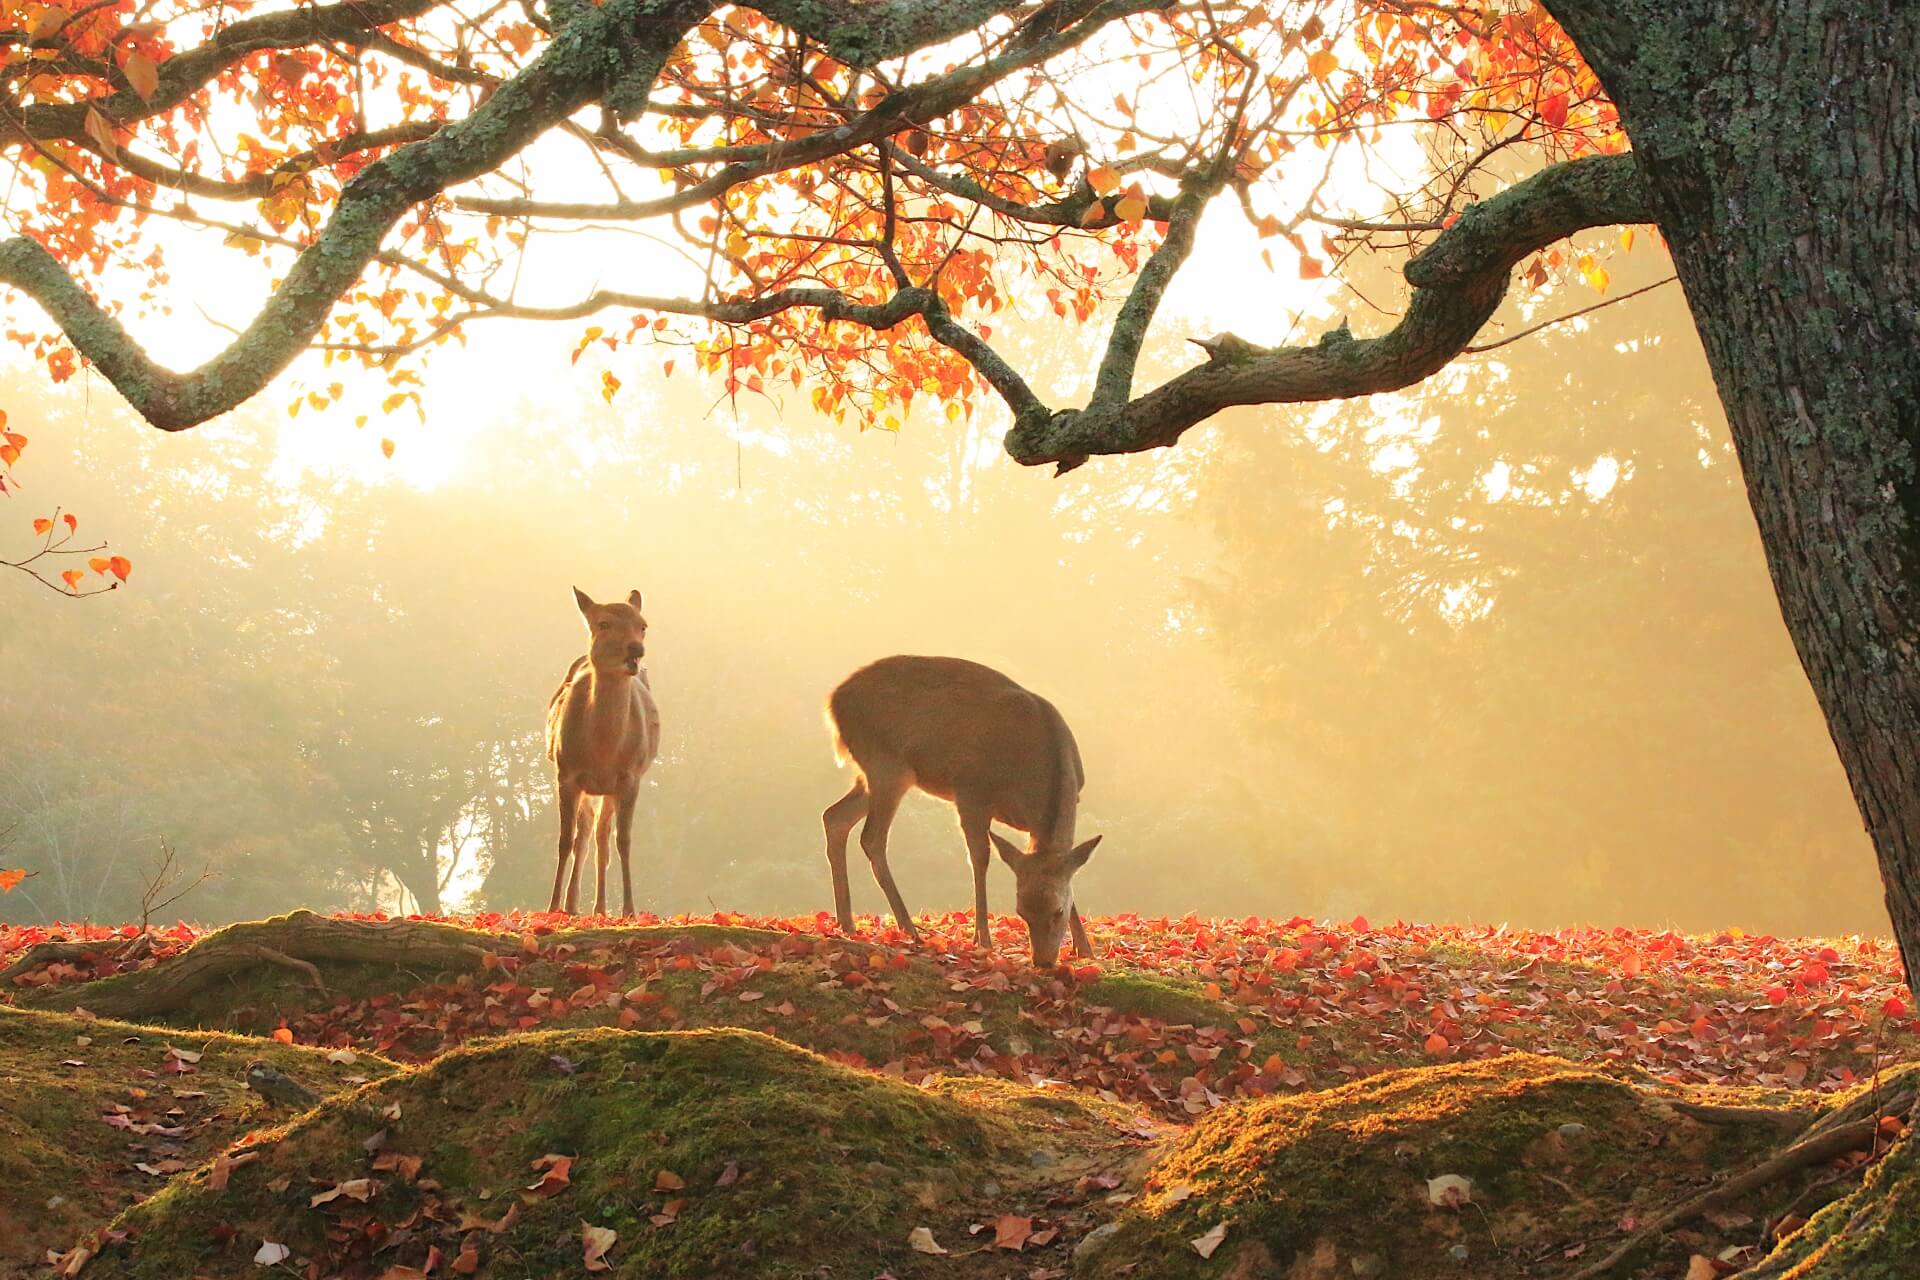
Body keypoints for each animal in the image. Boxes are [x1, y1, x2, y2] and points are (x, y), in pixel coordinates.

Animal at [545, 587, 664, 917]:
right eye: (604, 623)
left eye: (643, 625)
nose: (636, 649)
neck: (602, 750)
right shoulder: (565, 773)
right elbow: (564, 840)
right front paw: (552, 906)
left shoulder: (630, 775)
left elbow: (623, 840)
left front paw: (629, 910)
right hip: (586, 786)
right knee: (584, 834)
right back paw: (571, 905)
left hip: (609, 788)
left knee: (601, 835)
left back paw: (599, 908)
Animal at [817, 656, 1105, 967]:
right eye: (1021, 912)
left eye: (1058, 911)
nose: (1042, 961)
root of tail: (832, 703)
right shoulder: (970, 792)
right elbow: (979, 858)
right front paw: (982, 939)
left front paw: (1085, 948)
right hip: (887, 764)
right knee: (871, 837)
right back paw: (908, 927)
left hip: (874, 773)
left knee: (834, 816)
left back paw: (847, 923)